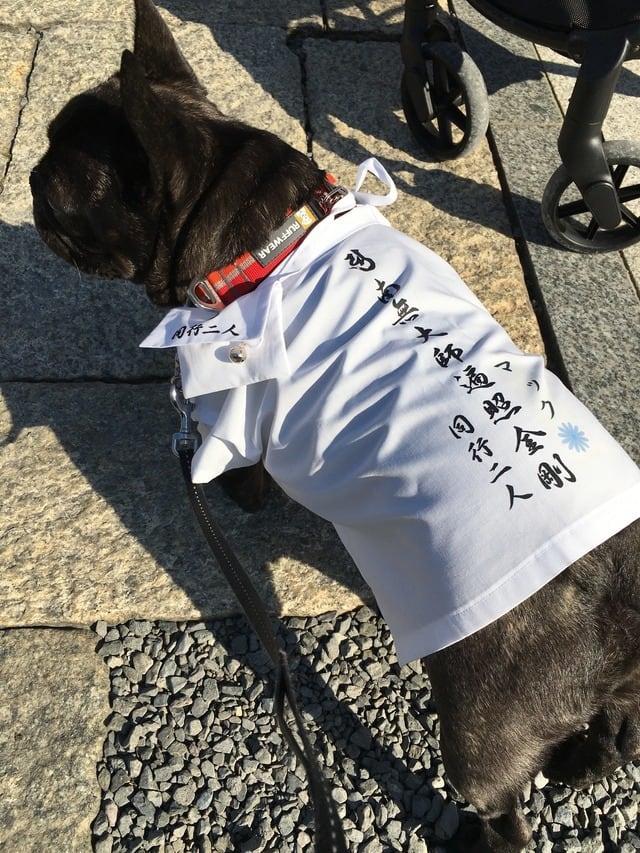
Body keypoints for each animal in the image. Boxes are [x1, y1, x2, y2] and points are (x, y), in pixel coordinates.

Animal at [30, 0, 640, 850]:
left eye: (58, 191)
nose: (25, 177)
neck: (260, 239)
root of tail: (617, 593)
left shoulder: (239, 421)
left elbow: (243, 478)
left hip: (485, 723)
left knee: (502, 805)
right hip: (614, 690)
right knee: (617, 733)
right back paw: (583, 764)